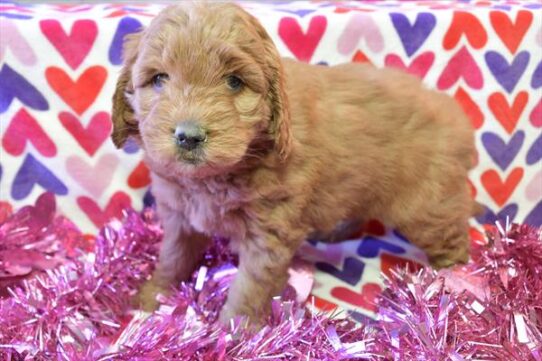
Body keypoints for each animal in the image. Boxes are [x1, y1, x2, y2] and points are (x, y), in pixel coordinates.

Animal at [110, 2, 476, 324]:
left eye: (234, 82)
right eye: (159, 79)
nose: (188, 136)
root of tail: (452, 111)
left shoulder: (269, 232)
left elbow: (250, 287)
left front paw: (234, 333)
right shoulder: (179, 216)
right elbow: (172, 257)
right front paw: (153, 295)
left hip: (426, 205)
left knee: (454, 236)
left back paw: (454, 284)